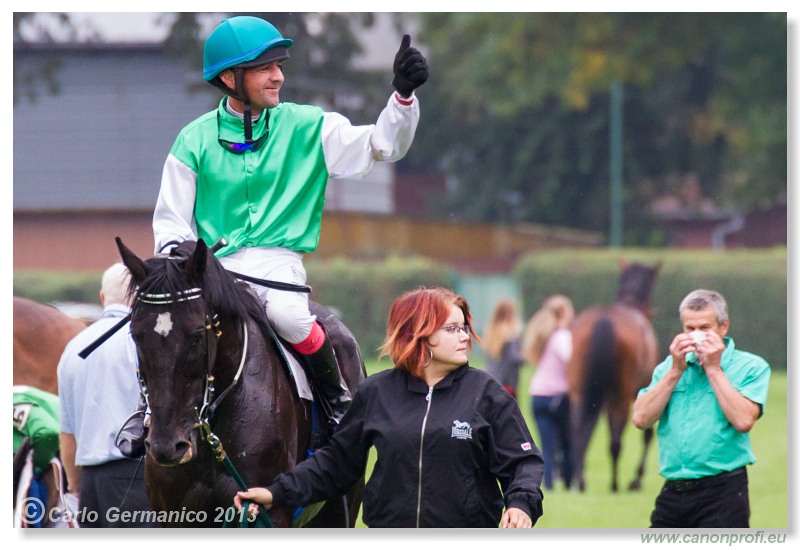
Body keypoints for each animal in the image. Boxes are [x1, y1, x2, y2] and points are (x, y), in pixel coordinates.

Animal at [564, 260, 660, 494]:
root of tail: (604, 319)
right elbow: (647, 434)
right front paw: (637, 479)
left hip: (580, 394)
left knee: (577, 433)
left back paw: (580, 480)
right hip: (621, 397)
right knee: (616, 441)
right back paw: (615, 484)